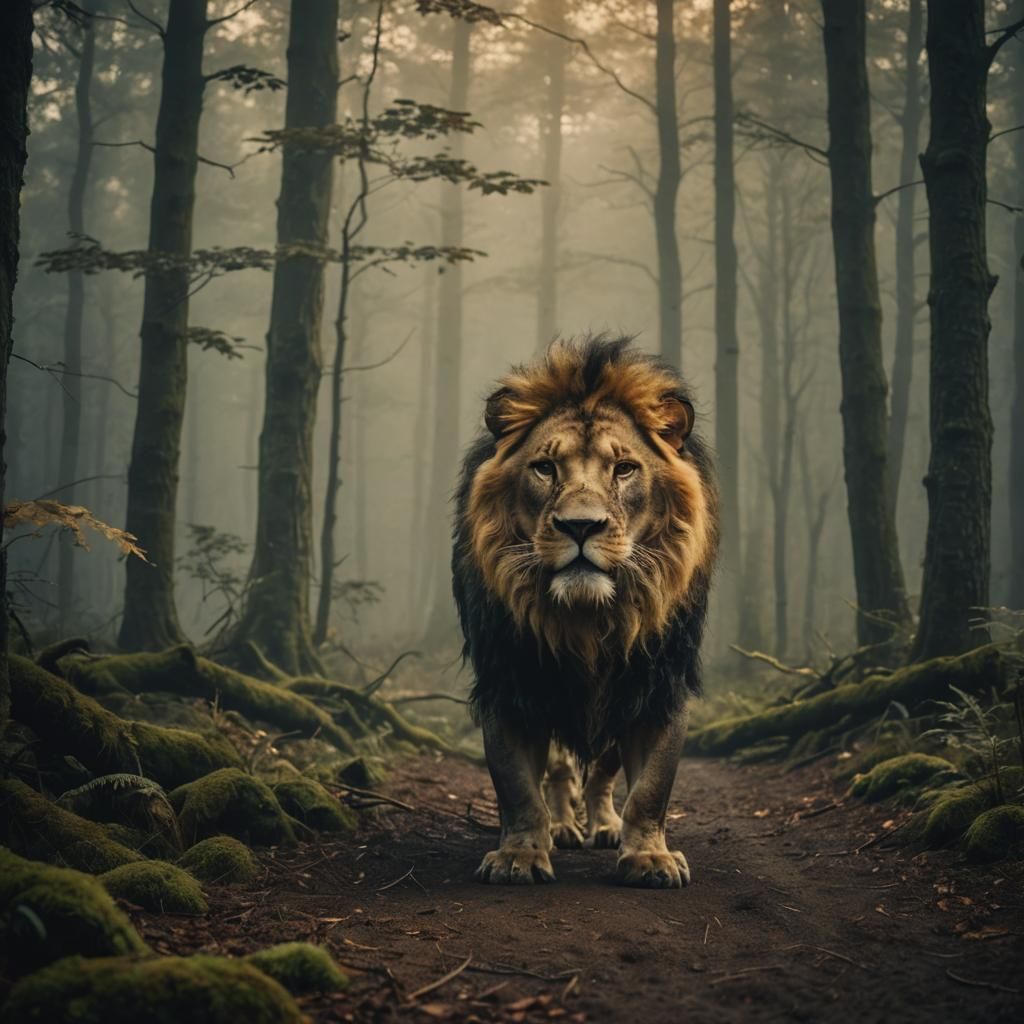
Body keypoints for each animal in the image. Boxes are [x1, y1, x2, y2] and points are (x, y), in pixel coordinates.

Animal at [452, 336, 718, 889]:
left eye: (624, 469)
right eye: (545, 467)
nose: (580, 526)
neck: (589, 620)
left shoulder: (656, 685)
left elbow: (651, 789)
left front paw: (650, 858)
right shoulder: (509, 681)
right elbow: (517, 786)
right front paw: (519, 856)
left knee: (601, 775)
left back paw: (604, 826)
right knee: (558, 771)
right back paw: (562, 828)